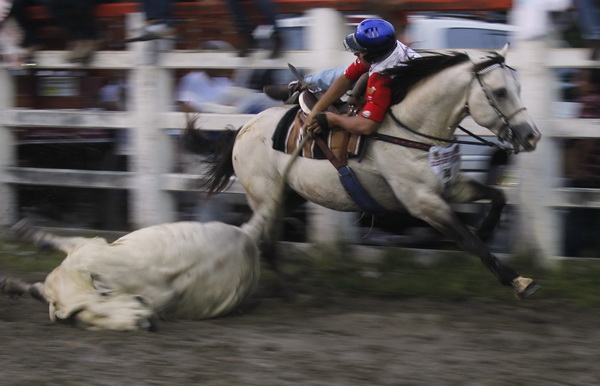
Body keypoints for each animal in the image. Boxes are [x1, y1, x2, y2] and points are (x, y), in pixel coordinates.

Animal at [189, 46, 544, 298]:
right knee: (264, 242)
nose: (531, 136)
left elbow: (497, 197)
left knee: (267, 240)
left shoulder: (451, 185)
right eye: (500, 92)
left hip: (290, 195)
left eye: (518, 87)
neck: (412, 128)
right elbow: (469, 241)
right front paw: (517, 280)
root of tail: (243, 129)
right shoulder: (423, 202)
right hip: (266, 197)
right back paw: (287, 290)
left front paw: (487, 229)